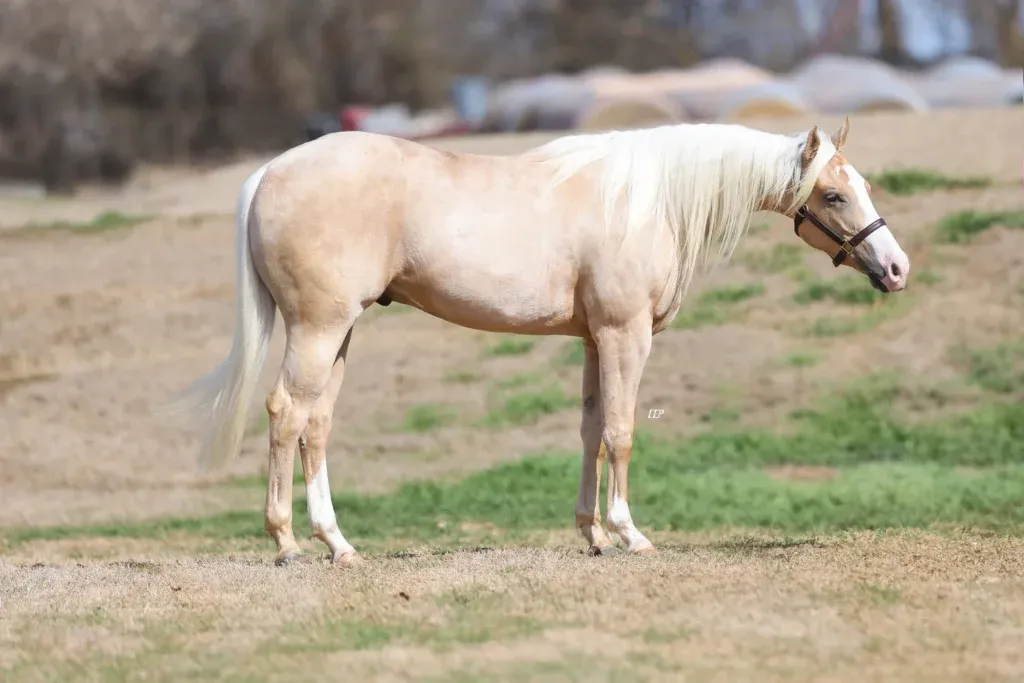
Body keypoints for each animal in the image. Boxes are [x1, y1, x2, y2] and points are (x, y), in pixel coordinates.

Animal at [168, 116, 910, 566]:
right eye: (835, 195)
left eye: (864, 185)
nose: (897, 268)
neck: (648, 202)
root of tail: (270, 172)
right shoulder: (624, 334)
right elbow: (621, 431)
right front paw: (630, 533)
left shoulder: (592, 339)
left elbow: (590, 430)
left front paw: (592, 533)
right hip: (318, 328)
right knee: (286, 414)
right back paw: (288, 542)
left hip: (341, 332)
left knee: (315, 424)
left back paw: (339, 544)